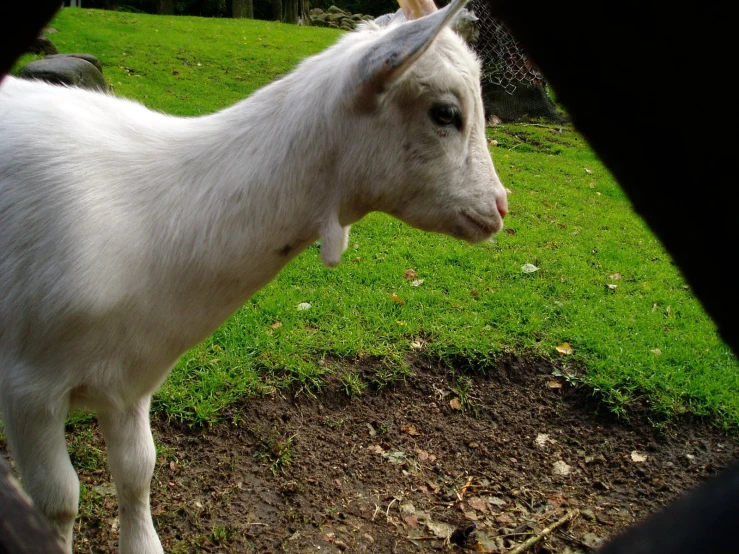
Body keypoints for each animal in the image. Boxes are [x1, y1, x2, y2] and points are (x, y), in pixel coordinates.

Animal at [0, 2, 506, 548]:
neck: (152, 221)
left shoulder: (128, 383)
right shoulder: (28, 390)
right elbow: (59, 501)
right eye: (445, 113)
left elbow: (137, 472)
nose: (499, 206)